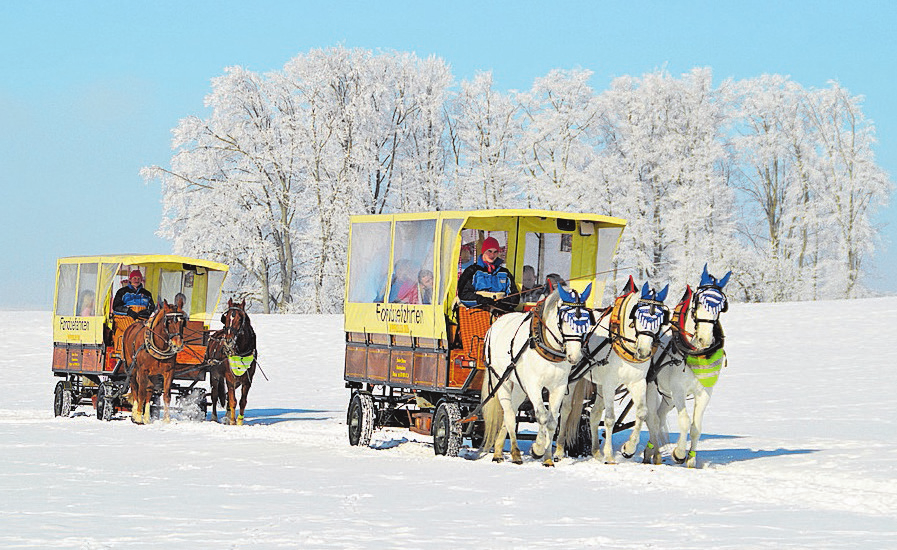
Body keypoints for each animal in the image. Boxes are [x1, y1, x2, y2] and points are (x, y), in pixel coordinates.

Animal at [480, 284, 592, 470]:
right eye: (564, 320)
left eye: (587, 321)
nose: (575, 356)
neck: (548, 346)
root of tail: (496, 323)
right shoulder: (534, 385)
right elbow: (542, 416)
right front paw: (538, 448)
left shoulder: (559, 387)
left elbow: (552, 420)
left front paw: (547, 458)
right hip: (501, 380)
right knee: (509, 414)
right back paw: (514, 453)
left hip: (519, 386)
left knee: (511, 411)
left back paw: (499, 451)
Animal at [556, 280, 668, 466]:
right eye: (638, 315)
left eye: (661, 319)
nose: (644, 352)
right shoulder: (610, 383)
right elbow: (609, 419)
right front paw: (609, 456)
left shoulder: (637, 382)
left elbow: (642, 413)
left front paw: (628, 448)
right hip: (573, 380)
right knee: (566, 410)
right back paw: (558, 450)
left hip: (599, 384)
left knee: (594, 413)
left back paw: (595, 452)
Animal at [644, 268, 728, 470]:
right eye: (698, 302)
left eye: (722, 306)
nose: (705, 339)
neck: (695, 353)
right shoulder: (678, 390)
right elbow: (684, 421)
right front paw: (679, 453)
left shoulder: (705, 392)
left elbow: (696, 426)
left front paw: (691, 459)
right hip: (651, 387)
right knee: (652, 418)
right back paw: (649, 452)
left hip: (667, 396)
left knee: (659, 417)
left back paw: (652, 451)